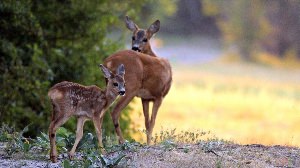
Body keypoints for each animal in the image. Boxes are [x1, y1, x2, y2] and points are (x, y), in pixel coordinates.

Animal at [104, 16, 172, 144]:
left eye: (145, 39)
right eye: (133, 37)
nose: (135, 47)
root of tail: (109, 61)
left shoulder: (145, 98)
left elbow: (146, 122)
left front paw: (148, 142)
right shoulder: (159, 95)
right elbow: (152, 122)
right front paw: (149, 144)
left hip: (111, 85)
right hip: (130, 87)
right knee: (114, 111)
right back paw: (122, 141)